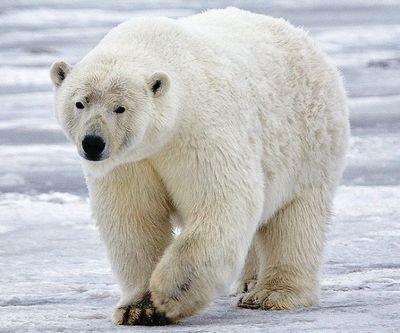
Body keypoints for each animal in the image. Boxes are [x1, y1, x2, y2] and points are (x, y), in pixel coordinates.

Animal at [50, 7, 350, 324]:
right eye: (80, 103)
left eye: (120, 108)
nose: (93, 143)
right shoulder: (129, 163)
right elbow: (134, 219)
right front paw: (138, 308)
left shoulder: (199, 131)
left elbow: (222, 201)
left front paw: (169, 295)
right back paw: (248, 282)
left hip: (309, 143)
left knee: (295, 220)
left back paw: (271, 294)